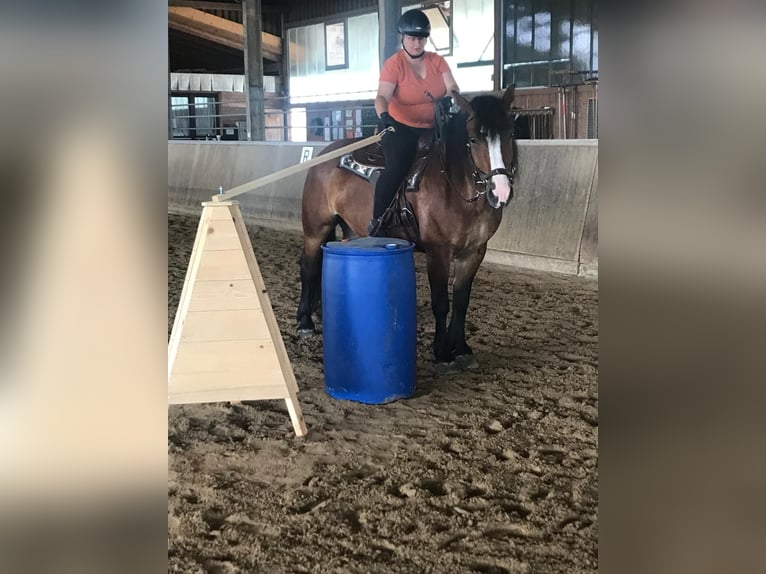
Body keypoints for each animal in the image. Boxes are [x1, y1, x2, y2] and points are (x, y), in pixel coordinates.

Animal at [296, 85, 520, 374]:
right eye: (472, 139)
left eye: (510, 134)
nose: (500, 191)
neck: (456, 187)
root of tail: (325, 155)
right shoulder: (438, 252)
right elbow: (441, 303)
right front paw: (443, 353)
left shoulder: (474, 252)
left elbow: (461, 302)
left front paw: (462, 349)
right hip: (316, 227)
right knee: (309, 266)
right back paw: (304, 323)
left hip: (350, 232)